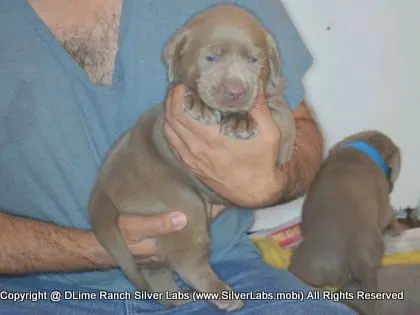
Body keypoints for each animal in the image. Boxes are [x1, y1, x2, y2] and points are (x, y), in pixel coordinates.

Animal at [90, 3, 296, 312]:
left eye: (254, 59)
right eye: (210, 57)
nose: (236, 92)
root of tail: (102, 189)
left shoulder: (282, 122)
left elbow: (276, 115)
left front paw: (241, 119)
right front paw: (198, 103)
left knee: (159, 270)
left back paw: (178, 299)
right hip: (181, 203)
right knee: (186, 260)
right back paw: (221, 295)